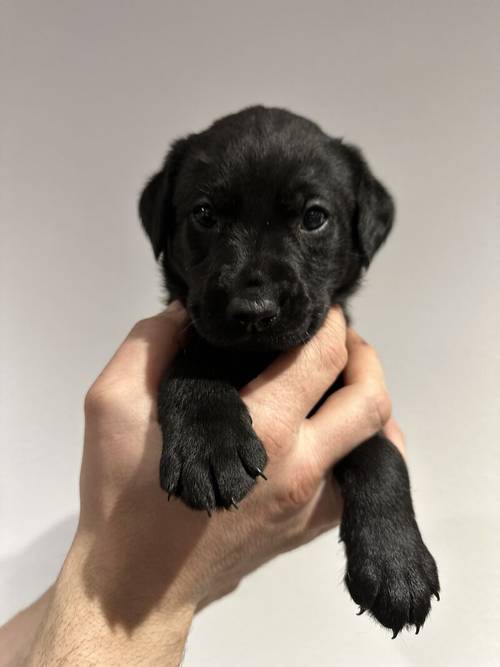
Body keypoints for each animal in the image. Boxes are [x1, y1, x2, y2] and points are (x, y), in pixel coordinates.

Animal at [139, 104, 440, 636]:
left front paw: (396, 564)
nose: (254, 311)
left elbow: (382, 456)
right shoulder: (193, 331)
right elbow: (194, 363)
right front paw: (209, 447)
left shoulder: (351, 396)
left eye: (314, 217)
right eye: (204, 214)